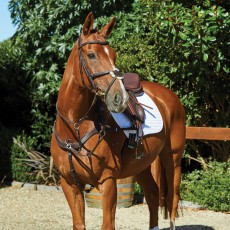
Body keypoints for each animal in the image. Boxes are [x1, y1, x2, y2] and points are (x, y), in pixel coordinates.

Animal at [50, 12, 185, 230]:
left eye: (113, 55)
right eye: (91, 55)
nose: (119, 98)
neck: (76, 128)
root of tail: (170, 96)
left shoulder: (108, 182)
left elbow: (108, 224)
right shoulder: (69, 184)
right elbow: (79, 224)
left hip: (172, 159)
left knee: (172, 199)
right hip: (142, 165)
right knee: (153, 194)